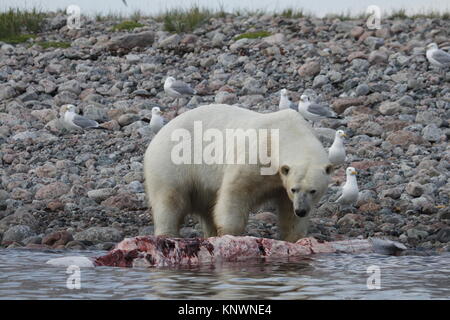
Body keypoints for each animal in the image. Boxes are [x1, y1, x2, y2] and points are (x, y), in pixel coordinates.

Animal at [144, 104, 334, 241]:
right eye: (295, 189)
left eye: (313, 191)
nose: (301, 210)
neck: (286, 132)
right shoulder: (257, 156)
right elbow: (235, 192)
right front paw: (230, 234)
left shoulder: (283, 183)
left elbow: (289, 212)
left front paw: (295, 237)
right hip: (172, 161)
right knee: (169, 200)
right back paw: (168, 234)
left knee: (207, 208)